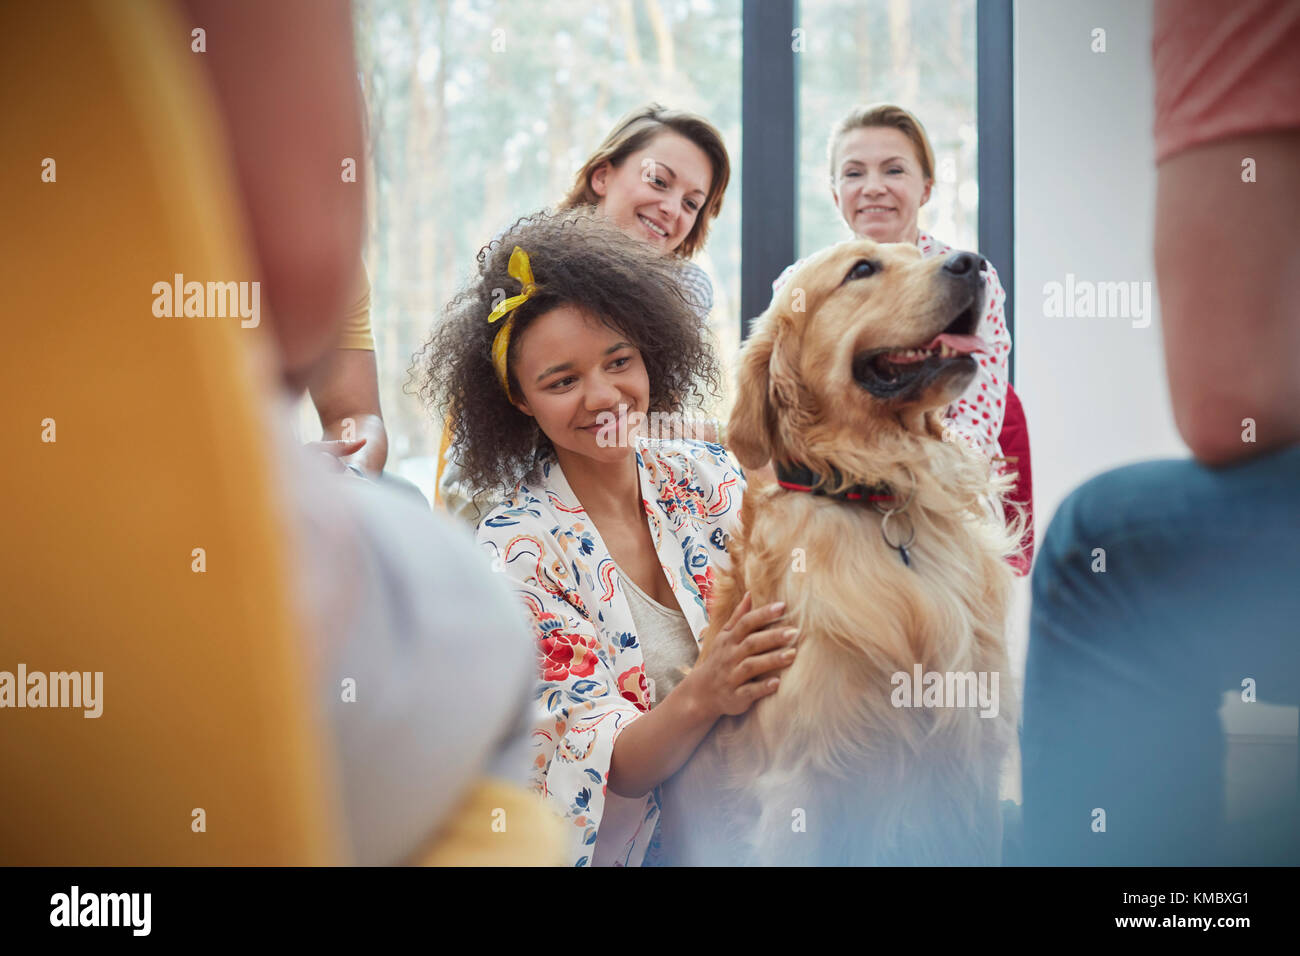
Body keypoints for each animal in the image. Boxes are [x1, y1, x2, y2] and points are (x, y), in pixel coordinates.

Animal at [660, 238, 1013, 868]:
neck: (877, 492)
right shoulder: (803, 781)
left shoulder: (973, 761)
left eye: (915, 252)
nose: (973, 264)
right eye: (862, 270)